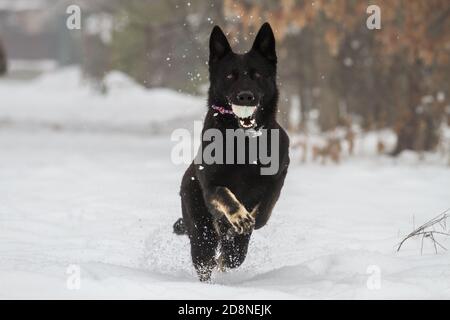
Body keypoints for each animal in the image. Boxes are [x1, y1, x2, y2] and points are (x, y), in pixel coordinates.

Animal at [174, 23, 290, 282]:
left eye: (257, 75)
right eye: (230, 76)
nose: (245, 96)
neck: (244, 140)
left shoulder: (278, 176)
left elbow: (265, 208)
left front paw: (249, 222)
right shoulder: (211, 185)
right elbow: (224, 194)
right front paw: (239, 216)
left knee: (232, 253)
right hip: (201, 232)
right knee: (206, 260)